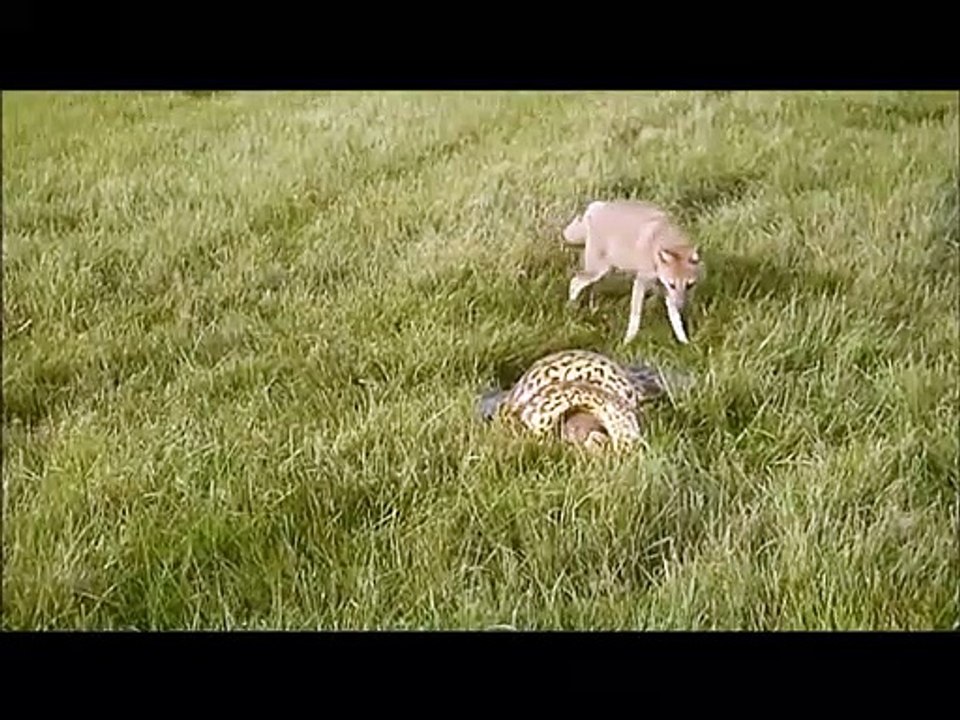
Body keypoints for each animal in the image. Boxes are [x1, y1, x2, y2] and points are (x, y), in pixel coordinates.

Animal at [562, 199, 702, 345]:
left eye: (689, 285)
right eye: (672, 285)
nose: (681, 306)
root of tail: (596, 208)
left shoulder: (666, 291)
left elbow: (676, 321)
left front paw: (685, 342)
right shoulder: (642, 283)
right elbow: (635, 316)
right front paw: (628, 340)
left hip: (602, 272)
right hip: (598, 271)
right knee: (575, 282)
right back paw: (571, 309)